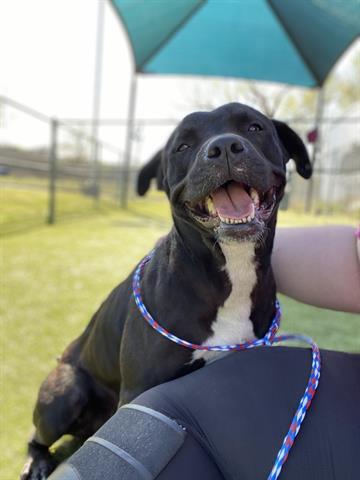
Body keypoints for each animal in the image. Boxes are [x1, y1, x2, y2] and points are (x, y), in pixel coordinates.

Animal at [21, 103, 310, 478]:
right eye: (182, 146)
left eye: (254, 127)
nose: (225, 147)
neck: (229, 273)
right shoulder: (139, 392)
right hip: (65, 392)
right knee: (37, 432)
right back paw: (38, 461)